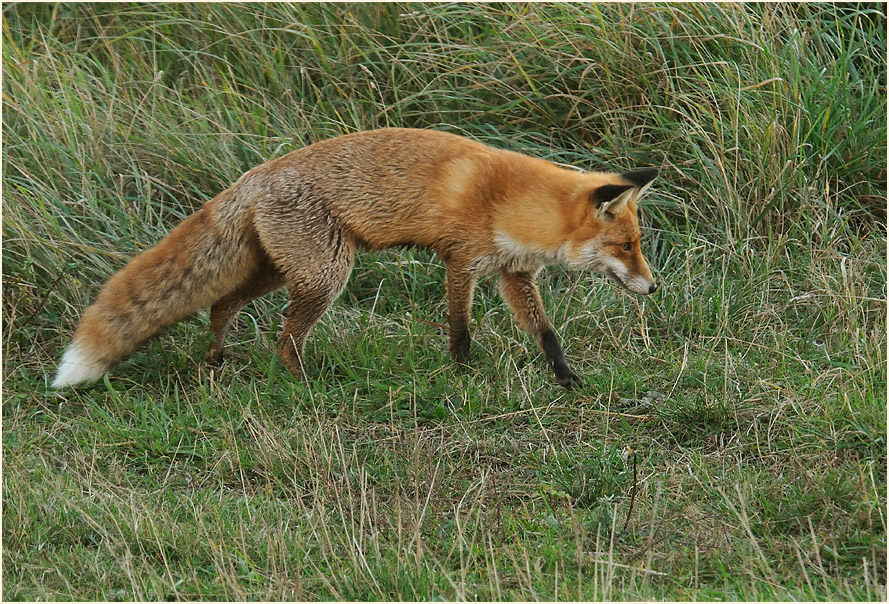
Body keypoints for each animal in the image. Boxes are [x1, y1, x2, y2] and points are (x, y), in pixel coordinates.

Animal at [52, 128, 659, 389]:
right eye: (627, 247)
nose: (654, 288)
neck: (509, 202)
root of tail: (254, 176)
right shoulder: (460, 263)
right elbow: (460, 328)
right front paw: (461, 373)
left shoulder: (513, 273)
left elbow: (546, 333)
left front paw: (566, 377)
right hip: (325, 275)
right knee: (284, 337)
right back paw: (306, 385)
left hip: (278, 271)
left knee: (222, 305)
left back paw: (217, 358)